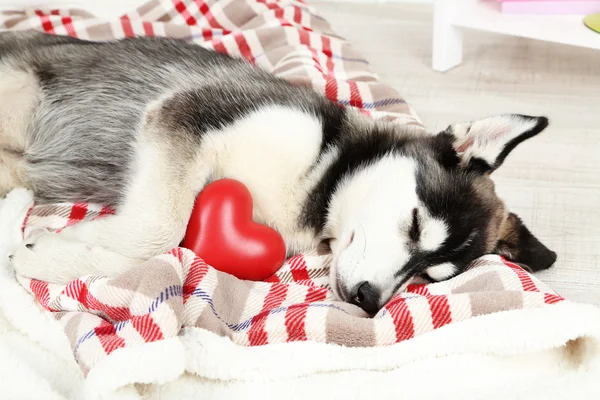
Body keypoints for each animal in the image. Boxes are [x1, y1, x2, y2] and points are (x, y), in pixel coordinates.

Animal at [0, 31, 556, 314]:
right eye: (416, 225)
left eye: (428, 275)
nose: (369, 301)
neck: (320, 182)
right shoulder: (185, 113)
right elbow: (161, 228)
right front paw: (56, 253)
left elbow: (164, 237)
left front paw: (65, 252)